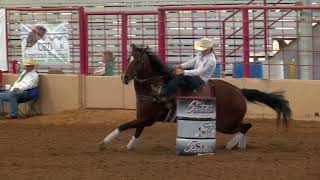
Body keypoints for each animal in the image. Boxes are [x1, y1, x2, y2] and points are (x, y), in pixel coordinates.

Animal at [99, 44, 292, 151]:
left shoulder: (148, 119)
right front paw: (129, 146)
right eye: (128, 58)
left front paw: (104, 142)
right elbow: (137, 131)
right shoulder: (143, 118)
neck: (154, 87)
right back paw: (239, 145)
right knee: (245, 127)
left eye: (138, 61)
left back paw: (232, 145)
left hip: (225, 124)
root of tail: (238, 91)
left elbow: (124, 126)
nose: (124, 77)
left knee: (246, 126)